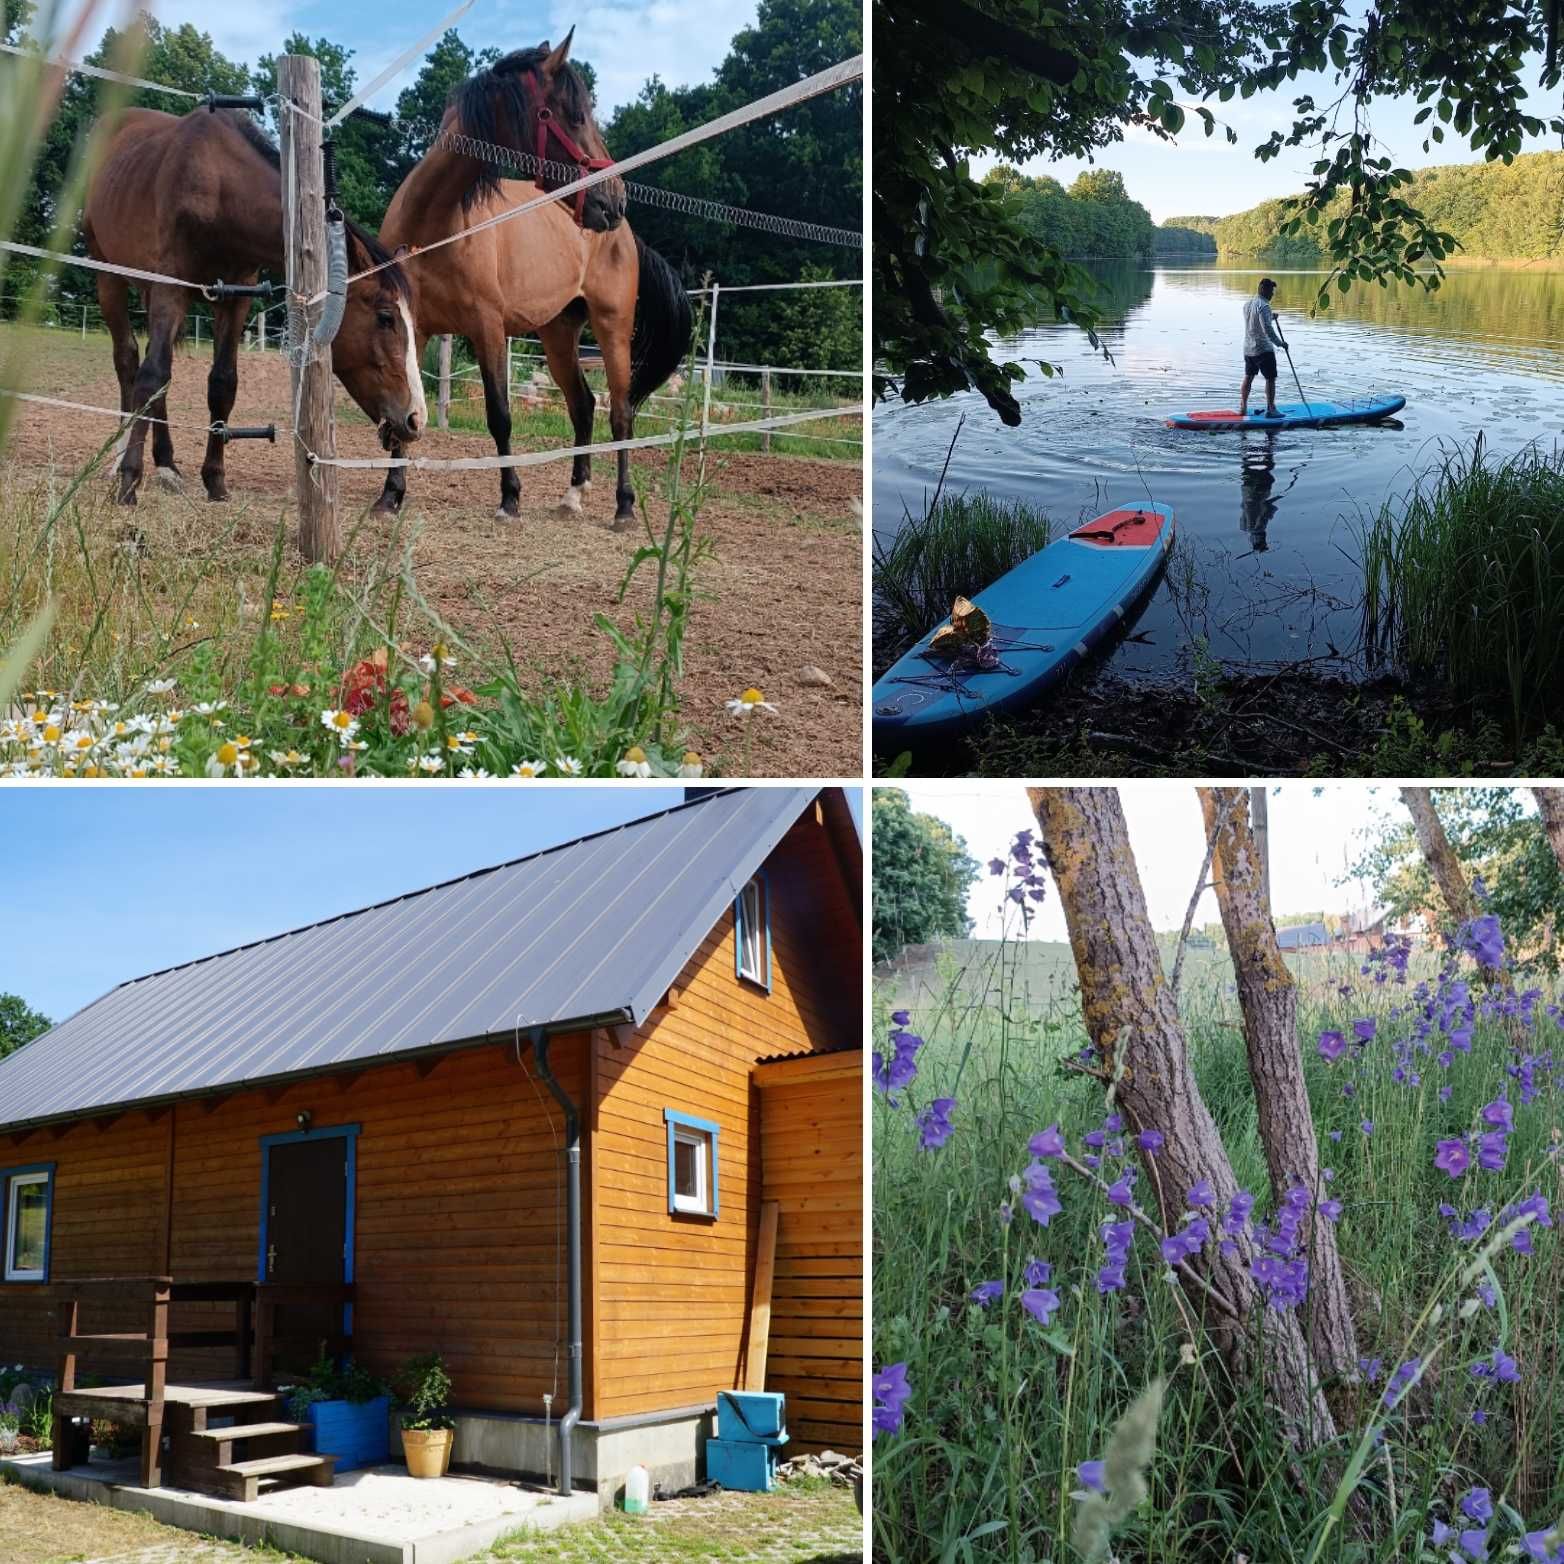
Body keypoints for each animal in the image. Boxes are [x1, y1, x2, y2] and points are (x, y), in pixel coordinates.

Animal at [79, 105, 422, 506]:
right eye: (385, 318)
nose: (415, 418)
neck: (217, 186)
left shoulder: (235, 297)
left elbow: (222, 383)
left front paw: (215, 480)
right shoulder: (170, 289)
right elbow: (151, 377)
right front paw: (130, 481)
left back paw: (167, 464)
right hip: (110, 277)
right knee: (129, 361)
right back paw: (121, 459)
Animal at [372, 30, 691, 528]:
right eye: (575, 114)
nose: (614, 199)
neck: (435, 224)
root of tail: (627, 235)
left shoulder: (487, 328)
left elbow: (500, 415)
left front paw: (510, 498)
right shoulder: (413, 328)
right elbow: (407, 409)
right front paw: (391, 495)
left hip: (613, 328)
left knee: (620, 413)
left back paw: (623, 506)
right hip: (558, 334)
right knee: (583, 405)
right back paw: (573, 494)